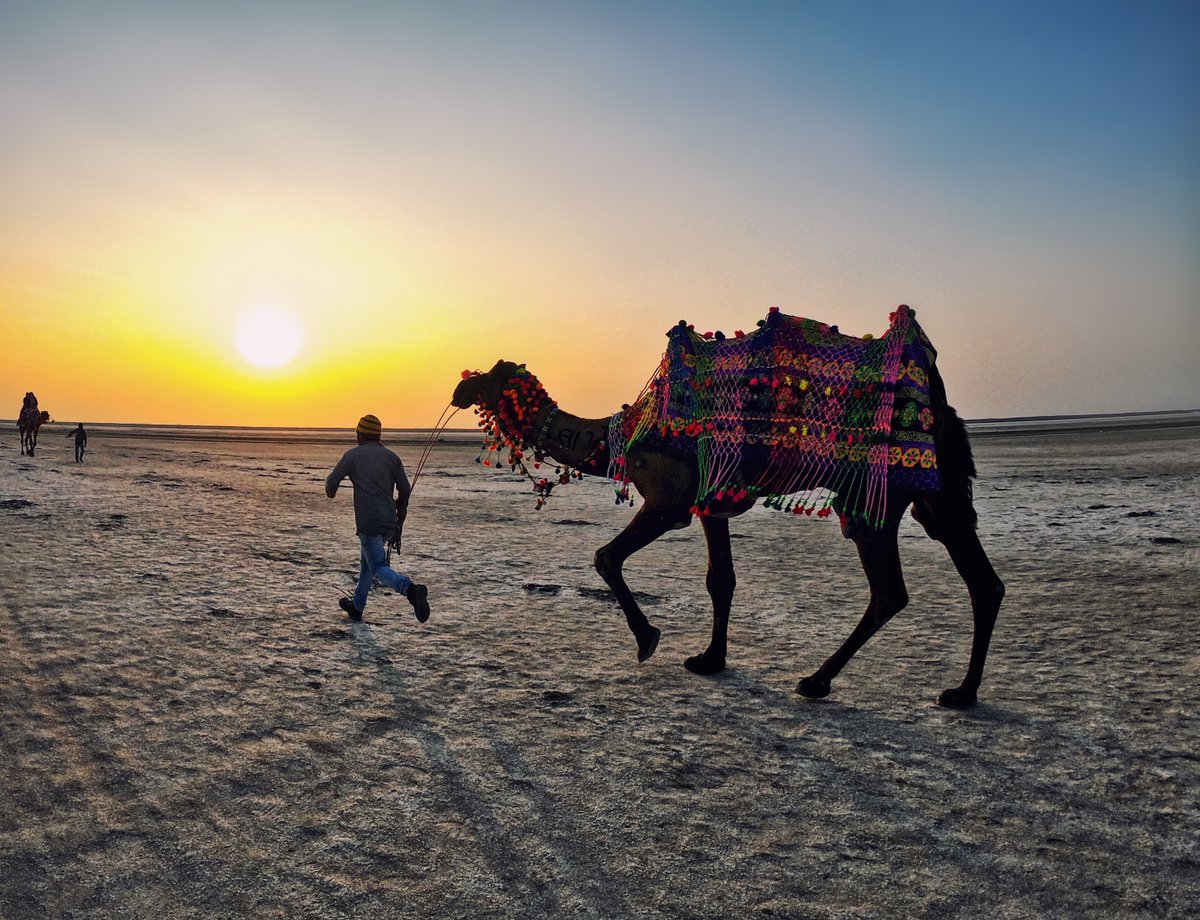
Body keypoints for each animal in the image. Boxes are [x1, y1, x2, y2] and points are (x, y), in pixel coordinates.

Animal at [451, 306, 1004, 707]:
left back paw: (816, 681)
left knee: (890, 590)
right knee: (982, 579)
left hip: (877, 494)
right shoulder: (711, 503)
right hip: (936, 495)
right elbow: (722, 579)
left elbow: (606, 557)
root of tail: (937, 400)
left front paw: (648, 639)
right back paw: (963, 693)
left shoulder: (670, 500)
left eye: (489, 373)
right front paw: (710, 659)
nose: (458, 387)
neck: (621, 434)